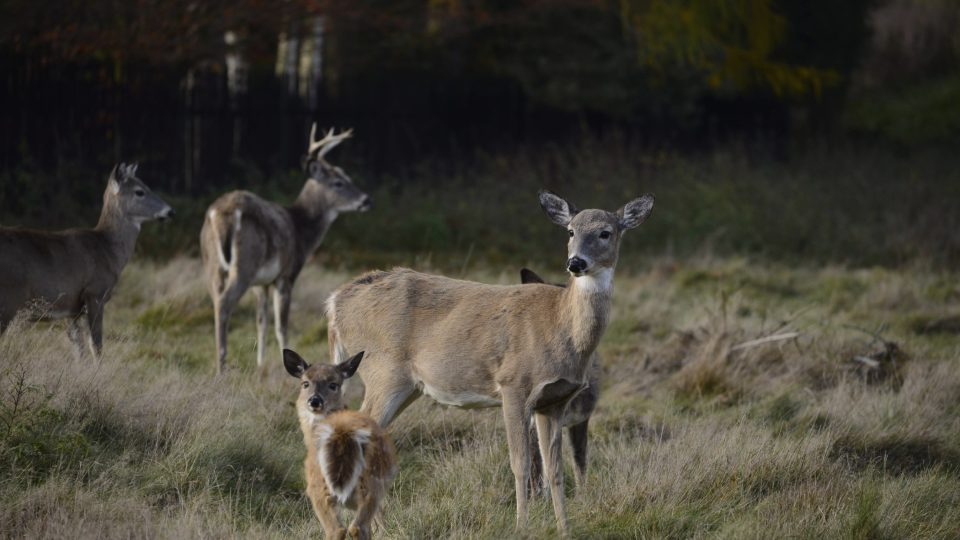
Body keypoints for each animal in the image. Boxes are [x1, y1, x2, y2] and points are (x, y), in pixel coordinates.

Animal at [0, 165, 174, 358]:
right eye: (140, 191)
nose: (170, 211)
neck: (108, 250)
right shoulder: (95, 292)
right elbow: (96, 344)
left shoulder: (72, 308)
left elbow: (79, 348)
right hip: (9, 298)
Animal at [201, 124, 370, 374]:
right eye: (338, 182)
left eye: (346, 176)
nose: (366, 200)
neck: (299, 228)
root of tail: (222, 214)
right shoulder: (286, 275)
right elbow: (281, 325)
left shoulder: (261, 283)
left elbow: (262, 322)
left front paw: (260, 364)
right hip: (245, 264)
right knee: (223, 304)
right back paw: (221, 367)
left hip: (212, 264)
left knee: (216, 301)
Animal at [284, 348, 396, 536]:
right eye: (305, 383)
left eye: (333, 384)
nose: (314, 400)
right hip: (367, 486)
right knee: (353, 527)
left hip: (320, 488)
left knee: (340, 529)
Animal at [516, 266, 600, 498]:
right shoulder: (533, 423)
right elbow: (538, 468)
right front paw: (538, 500)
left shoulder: (580, 419)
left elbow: (579, 463)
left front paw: (582, 498)